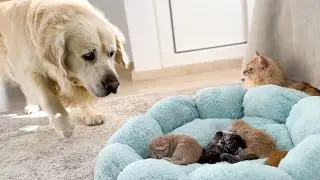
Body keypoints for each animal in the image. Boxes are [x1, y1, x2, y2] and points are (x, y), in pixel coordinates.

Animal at [0, 0, 130, 139]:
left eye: (111, 53)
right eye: (89, 55)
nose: (114, 85)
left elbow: (80, 95)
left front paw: (90, 113)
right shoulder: (34, 70)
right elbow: (49, 98)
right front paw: (63, 125)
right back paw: (32, 105)